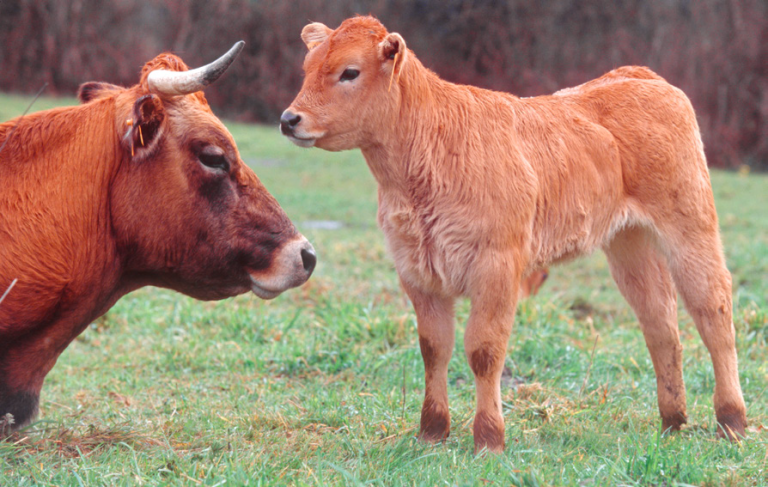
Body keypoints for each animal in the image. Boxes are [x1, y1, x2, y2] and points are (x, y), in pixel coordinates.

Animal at [280, 16, 747, 453]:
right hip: (629, 242)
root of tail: (638, 74)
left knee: (714, 312)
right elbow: (434, 347)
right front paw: (432, 432)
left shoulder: (497, 265)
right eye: (307, 68)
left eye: (349, 72)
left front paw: (489, 438)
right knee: (660, 322)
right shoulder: (415, 269)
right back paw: (672, 422)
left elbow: (484, 351)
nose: (288, 119)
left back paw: (732, 421)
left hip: (690, 226)